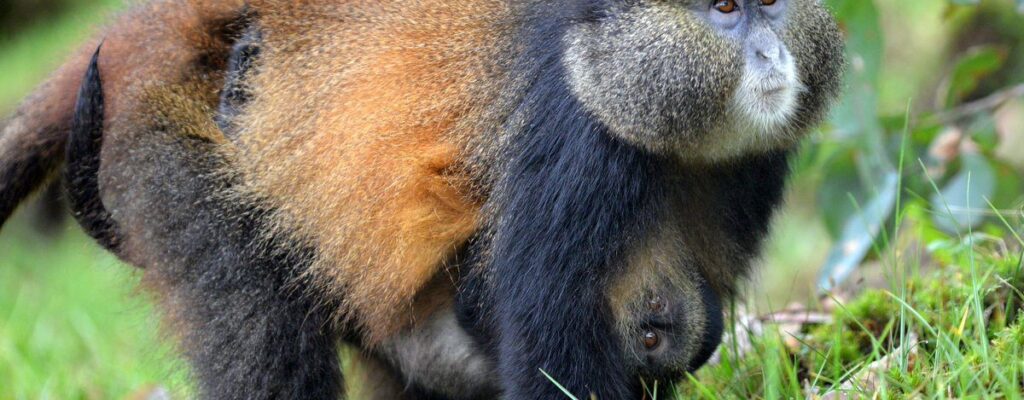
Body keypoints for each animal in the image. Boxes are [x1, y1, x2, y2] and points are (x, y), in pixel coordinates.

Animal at [0, 0, 845, 399]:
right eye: (725, 8)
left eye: (771, 2)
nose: (771, 56)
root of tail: (151, 31)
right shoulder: (574, 149)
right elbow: (544, 350)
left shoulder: (752, 168)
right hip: (166, 151)